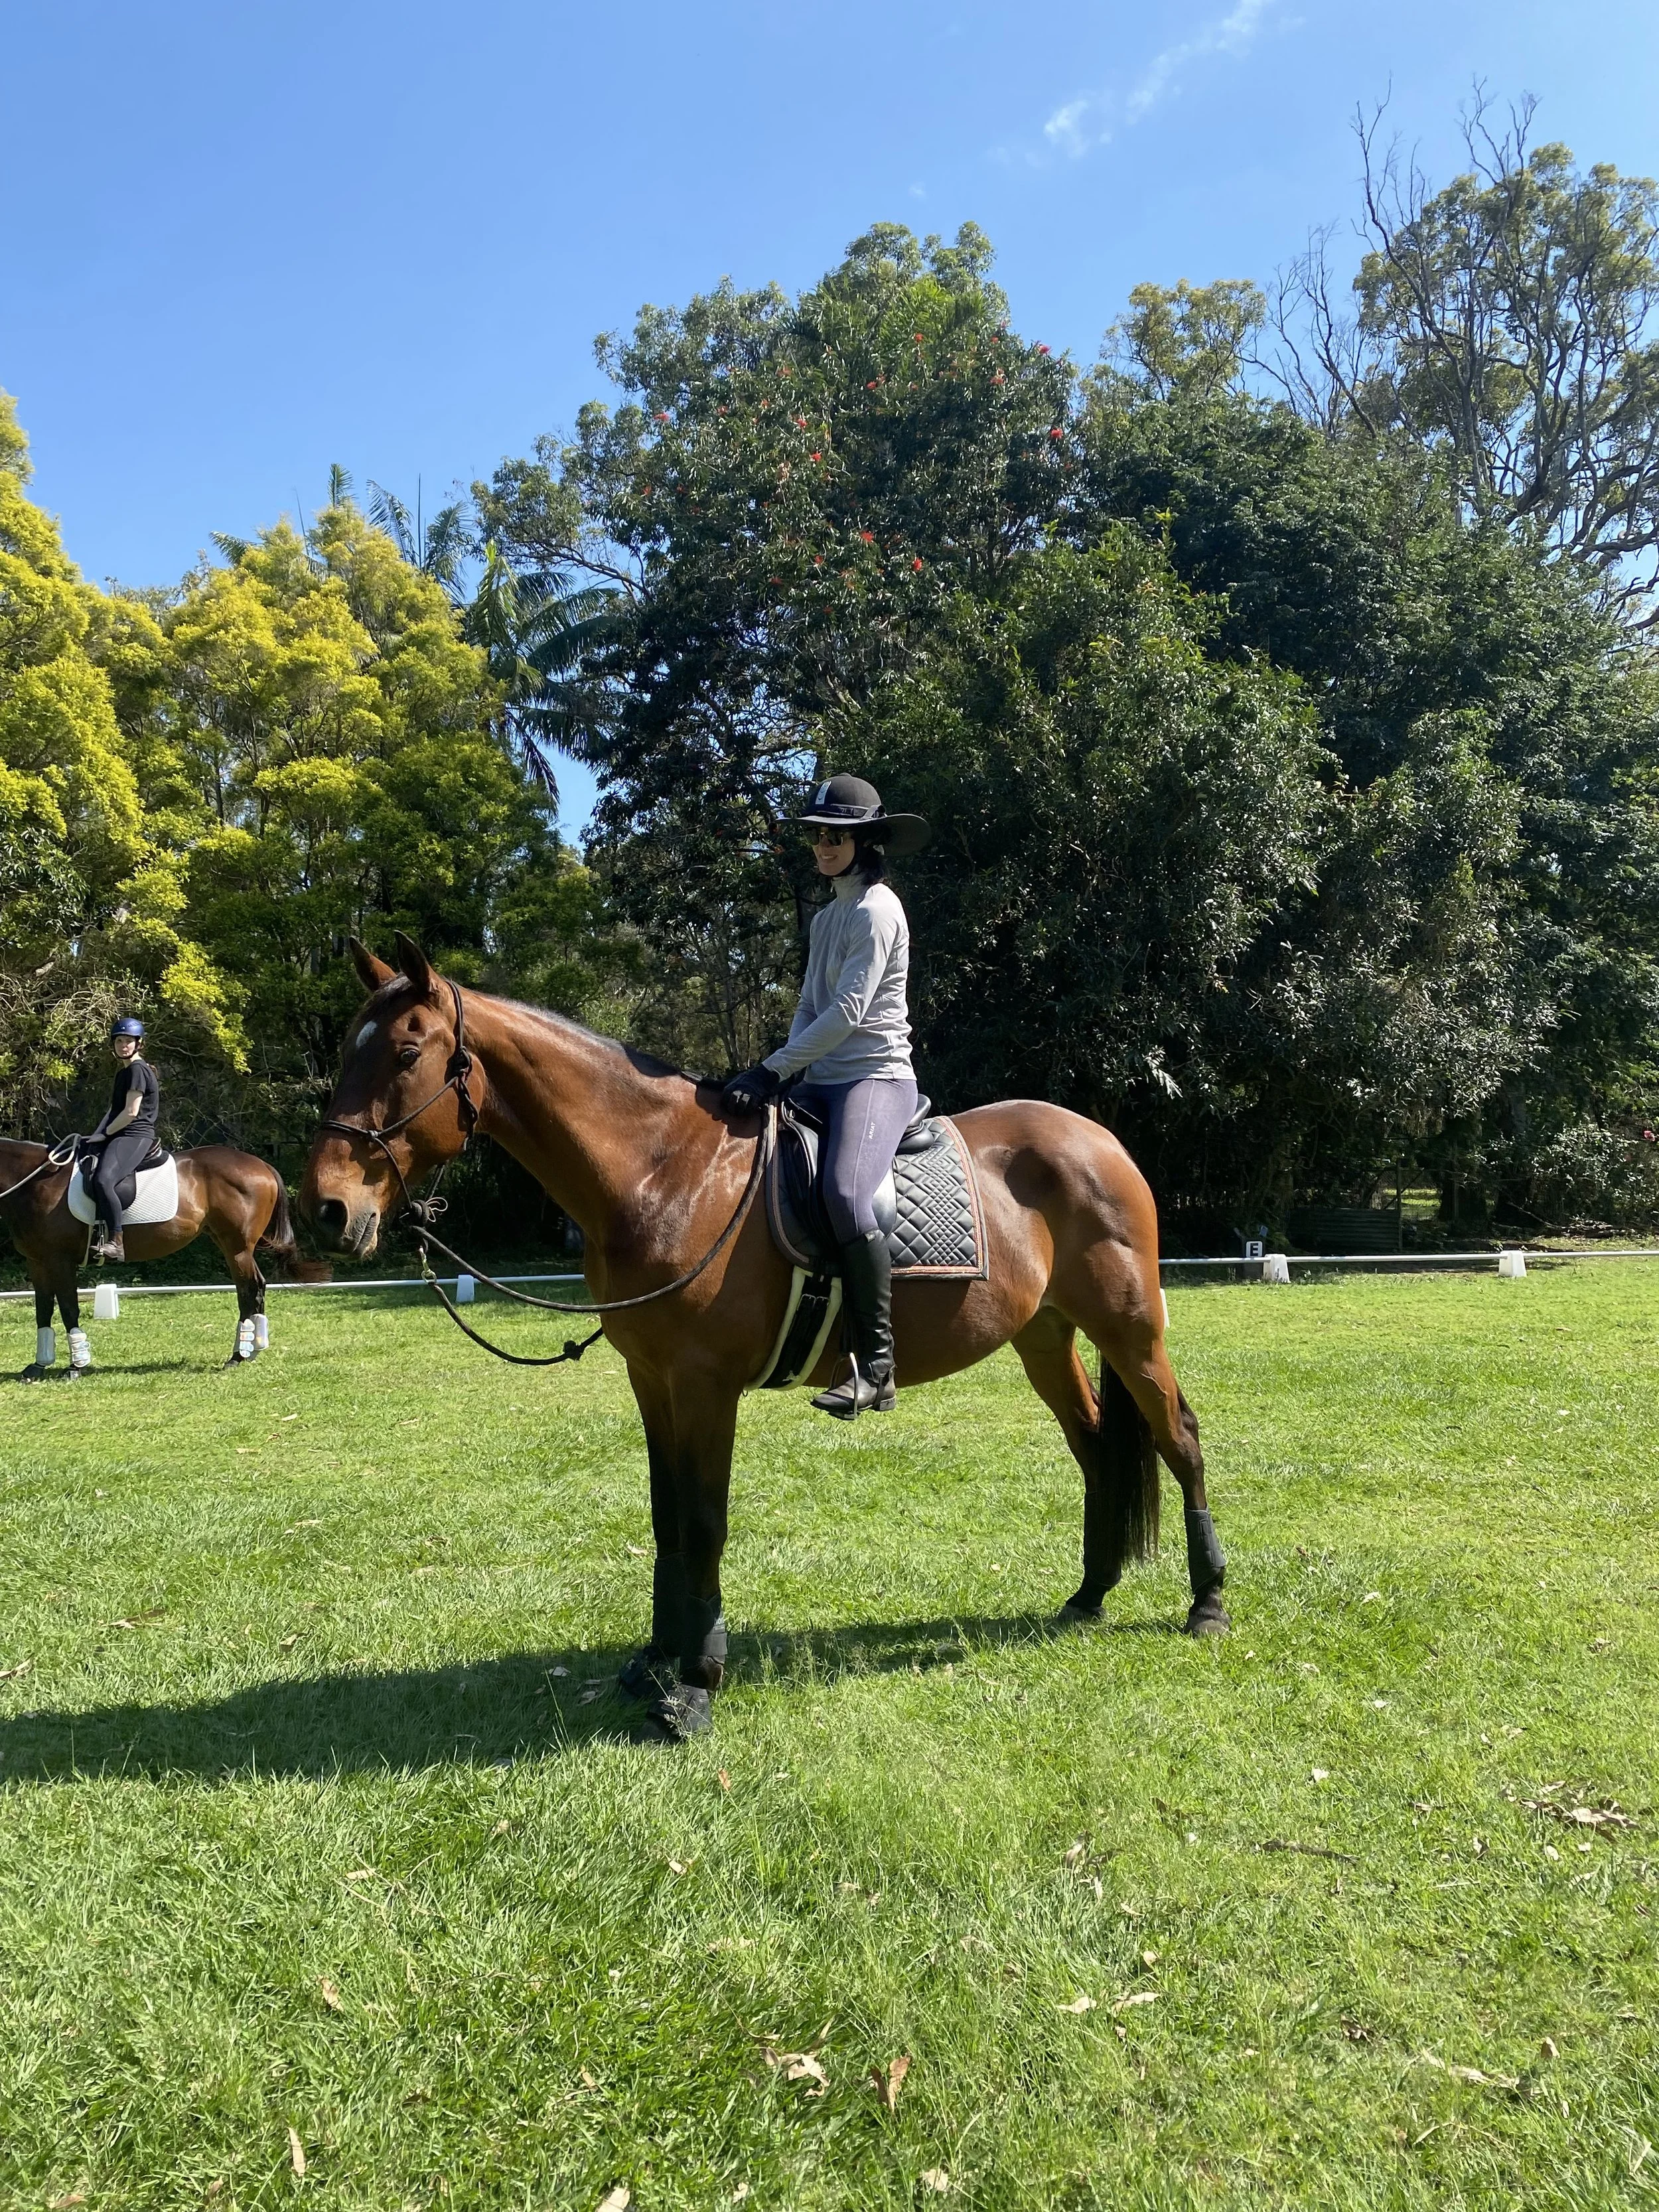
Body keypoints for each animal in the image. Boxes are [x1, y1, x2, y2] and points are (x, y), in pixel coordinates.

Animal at [0, 1138, 328, 1378]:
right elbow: (43, 1310)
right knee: (254, 1288)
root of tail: (261, 1165)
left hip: (237, 1248)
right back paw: (253, 1350)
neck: (37, 1182)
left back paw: (238, 1356)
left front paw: (76, 1366)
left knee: (249, 1289)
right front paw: (38, 1365)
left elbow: (69, 1309)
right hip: (229, 1244)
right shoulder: (38, 1262)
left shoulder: (61, 1261)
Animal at [300, 933, 1228, 1741]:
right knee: (1097, 1447)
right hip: (1045, 1336)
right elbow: (667, 1517)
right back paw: (1089, 1594)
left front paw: (696, 1685)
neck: (661, 1169)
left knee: (1178, 1437)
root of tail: (1098, 1137)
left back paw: (1207, 1604)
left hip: (1130, 1329)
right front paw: (655, 1658)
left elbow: (705, 1524)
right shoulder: (652, 1380)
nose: (329, 1209)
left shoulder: (706, 1385)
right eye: (350, 1048)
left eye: (408, 1054)